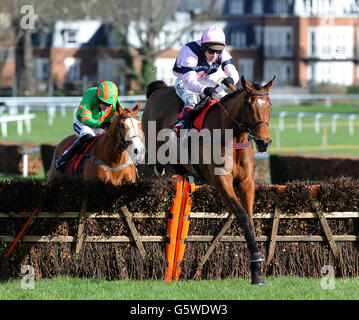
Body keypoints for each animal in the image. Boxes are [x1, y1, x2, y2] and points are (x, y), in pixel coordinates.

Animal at [143, 75, 276, 284]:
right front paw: (256, 257)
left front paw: (257, 272)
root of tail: (159, 90)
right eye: (250, 106)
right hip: (160, 156)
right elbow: (242, 215)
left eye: (269, 105)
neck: (233, 137)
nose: (264, 142)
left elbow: (250, 218)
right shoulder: (222, 182)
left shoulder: (246, 182)